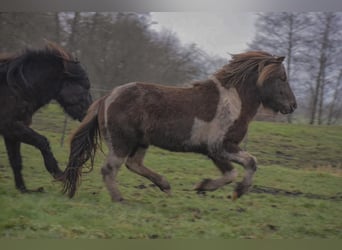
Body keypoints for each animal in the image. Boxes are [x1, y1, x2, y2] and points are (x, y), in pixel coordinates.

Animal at [0, 42, 92, 192]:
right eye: (84, 87)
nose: (90, 112)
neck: (16, 88)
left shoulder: (12, 132)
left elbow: (16, 161)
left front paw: (23, 190)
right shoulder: (11, 127)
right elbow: (42, 141)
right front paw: (57, 172)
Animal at [61, 50, 296, 201]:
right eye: (283, 78)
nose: (293, 105)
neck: (233, 101)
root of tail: (106, 97)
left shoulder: (214, 151)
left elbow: (234, 171)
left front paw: (203, 187)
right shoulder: (220, 147)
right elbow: (247, 165)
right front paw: (234, 191)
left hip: (141, 142)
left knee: (133, 164)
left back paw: (165, 186)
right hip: (122, 142)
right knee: (110, 169)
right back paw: (120, 199)